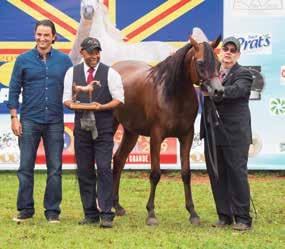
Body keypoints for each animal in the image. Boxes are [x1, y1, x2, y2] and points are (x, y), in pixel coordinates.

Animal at [111, 36, 222, 225]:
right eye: (200, 63)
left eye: (219, 63)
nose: (218, 91)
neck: (174, 96)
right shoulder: (156, 137)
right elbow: (155, 174)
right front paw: (151, 213)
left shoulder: (186, 136)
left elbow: (186, 173)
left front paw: (193, 213)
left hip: (131, 132)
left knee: (119, 160)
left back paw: (117, 206)